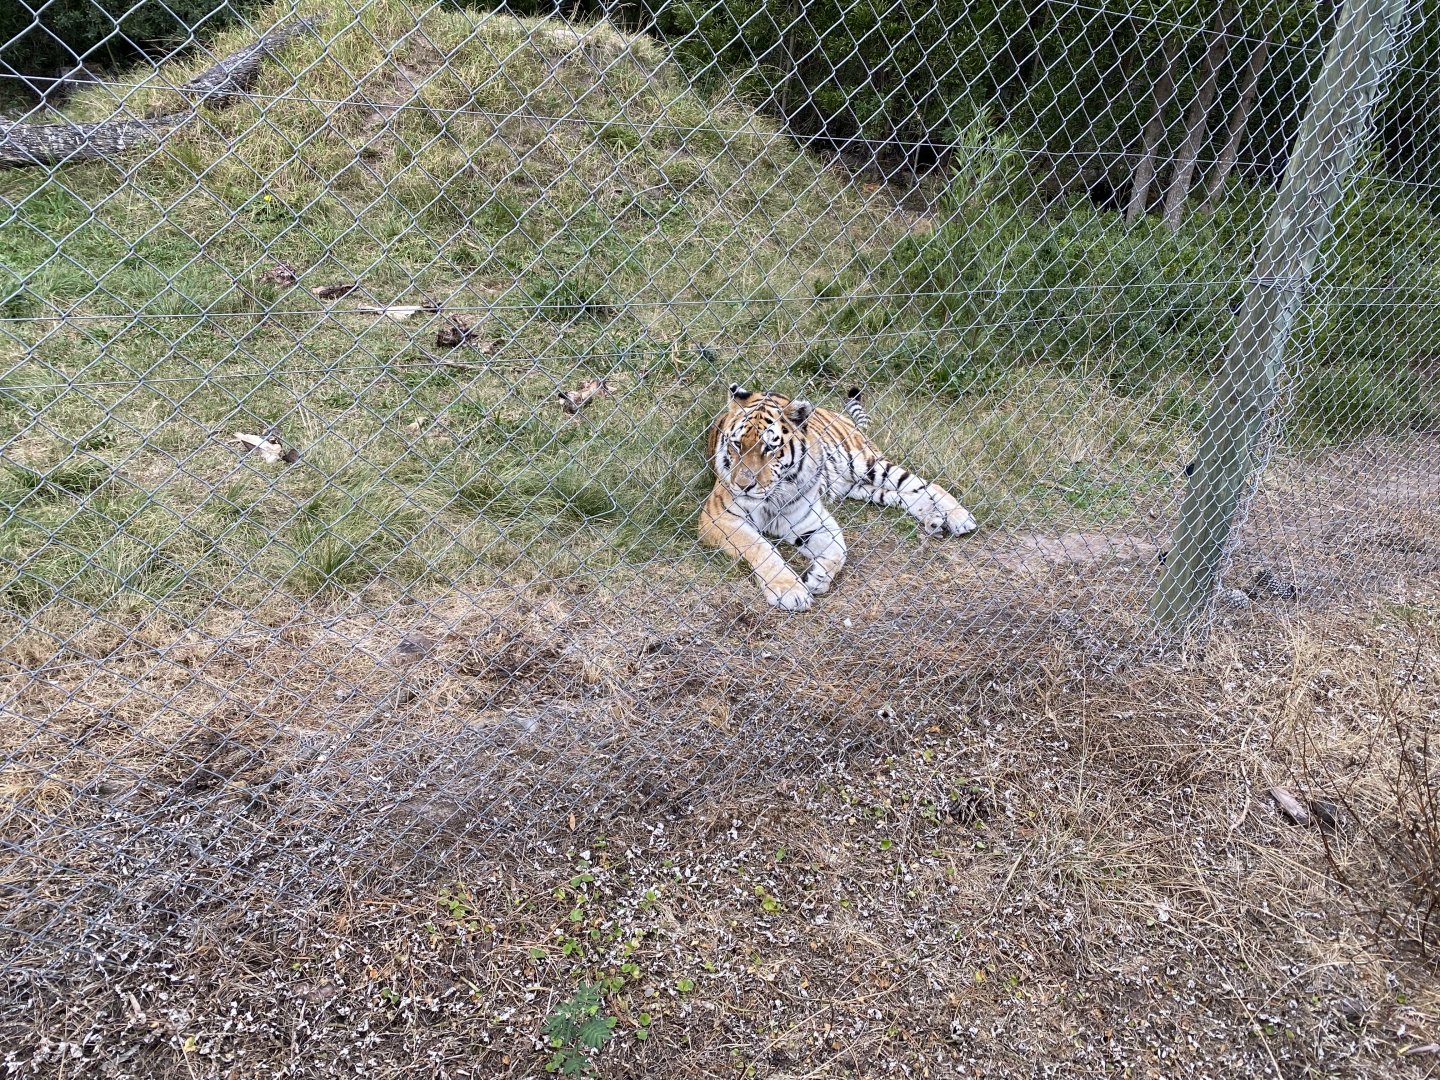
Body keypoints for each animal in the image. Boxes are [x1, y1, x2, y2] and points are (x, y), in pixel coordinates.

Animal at [698, 383, 978, 610]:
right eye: (737, 445)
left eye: (769, 448)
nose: (743, 485)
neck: (774, 496)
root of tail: (837, 415)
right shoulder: (719, 518)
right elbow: (761, 548)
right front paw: (793, 590)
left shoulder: (810, 520)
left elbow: (839, 550)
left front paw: (818, 579)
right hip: (862, 488)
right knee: (904, 495)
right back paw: (934, 520)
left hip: (870, 465)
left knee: (928, 485)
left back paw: (959, 517)